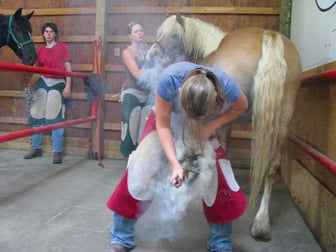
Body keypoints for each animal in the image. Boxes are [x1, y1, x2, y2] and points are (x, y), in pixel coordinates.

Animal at [146, 14, 302, 240]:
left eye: (174, 35)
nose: (152, 54)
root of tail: (268, 35)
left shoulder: (218, 122)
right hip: (282, 122)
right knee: (272, 167)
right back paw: (261, 223)